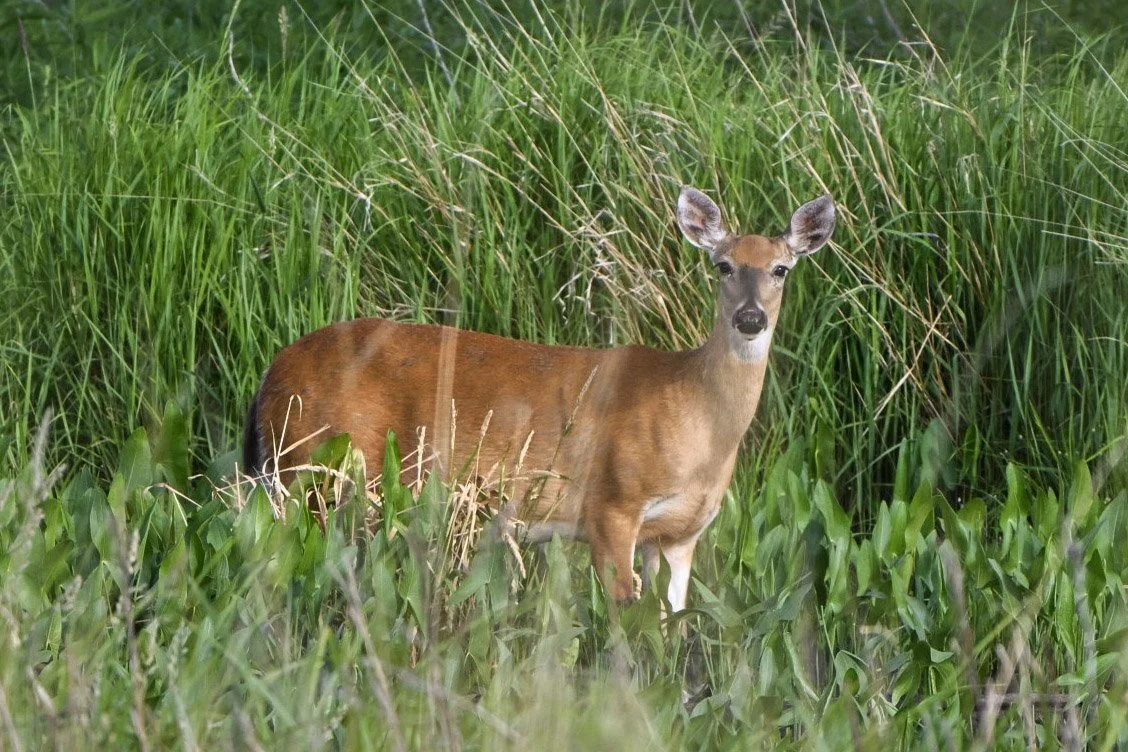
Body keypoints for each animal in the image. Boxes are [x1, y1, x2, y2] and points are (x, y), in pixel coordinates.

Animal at [243, 186, 836, 611]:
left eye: (781, 268)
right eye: (723, 265)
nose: (750, 318)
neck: (694, 412)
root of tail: (271, 375)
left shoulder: (680, 534)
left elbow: (672, 625)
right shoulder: (611, 504)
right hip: (315, 468)